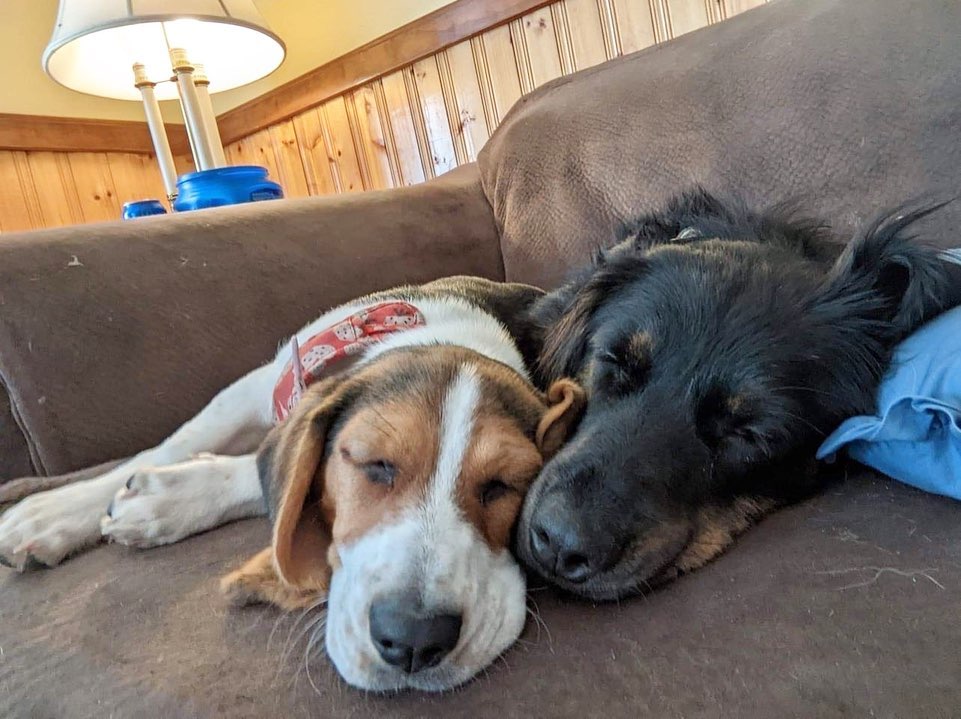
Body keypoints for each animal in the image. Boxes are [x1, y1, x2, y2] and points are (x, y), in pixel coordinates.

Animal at [0, 278, 584, 692]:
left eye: (504, 485)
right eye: (373, 464)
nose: (414, 639)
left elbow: (247, 471)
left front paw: (163, 502)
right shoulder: (257, 385)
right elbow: (169, 447)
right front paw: (54, 514)